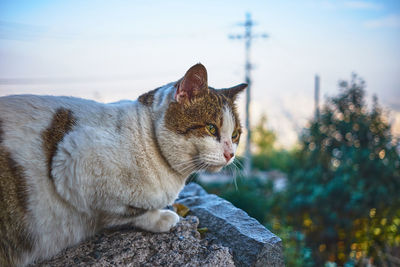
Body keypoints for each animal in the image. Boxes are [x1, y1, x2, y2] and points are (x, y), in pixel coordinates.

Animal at [0, 63, 247, 266]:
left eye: (235, 135)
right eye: (211, 128)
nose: (230, 154)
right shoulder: (72, 165)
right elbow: (126, 210)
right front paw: (161, 217)